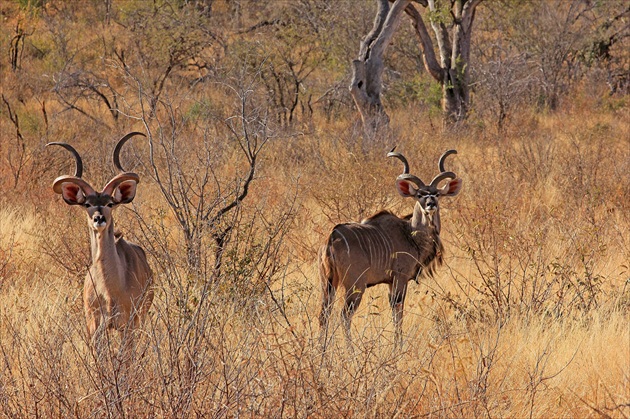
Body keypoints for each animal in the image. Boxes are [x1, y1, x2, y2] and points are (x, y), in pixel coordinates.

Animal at [47, 133, 154, 356]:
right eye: (87, 204)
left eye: (110, 203)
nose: (99, 218)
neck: (109, 291)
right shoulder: (95, 326)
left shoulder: (127, 324)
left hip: (140, 317)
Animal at [320, 149, 464, 346]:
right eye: (419, 195)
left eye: (437, 194)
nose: (430, 204)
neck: (410, 232)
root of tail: (332, 237)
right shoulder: (400, 279)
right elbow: (398, 313)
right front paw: (398, 345)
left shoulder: (390, 282)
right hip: (355, 286)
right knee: (344, 316)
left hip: (328, 284)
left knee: (324, 315)